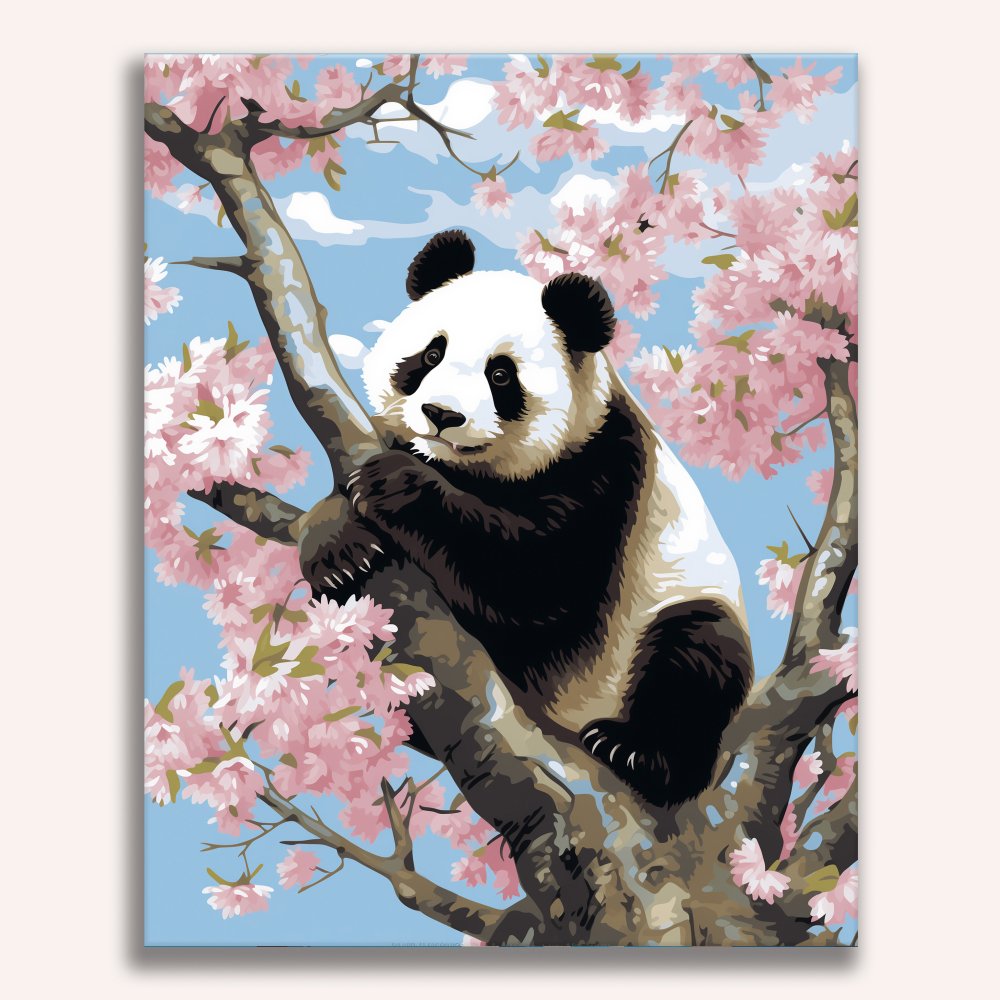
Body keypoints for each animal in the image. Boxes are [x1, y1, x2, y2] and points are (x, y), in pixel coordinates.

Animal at [302, 230, 754, 808]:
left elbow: (535, 580)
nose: (442, 415)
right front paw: (339, 549)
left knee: (697, 658)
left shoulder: (603, 471)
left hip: (670, 607)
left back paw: (636, 753)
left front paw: (396, 486)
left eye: (501, 375)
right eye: (431, 353)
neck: (468, 472)